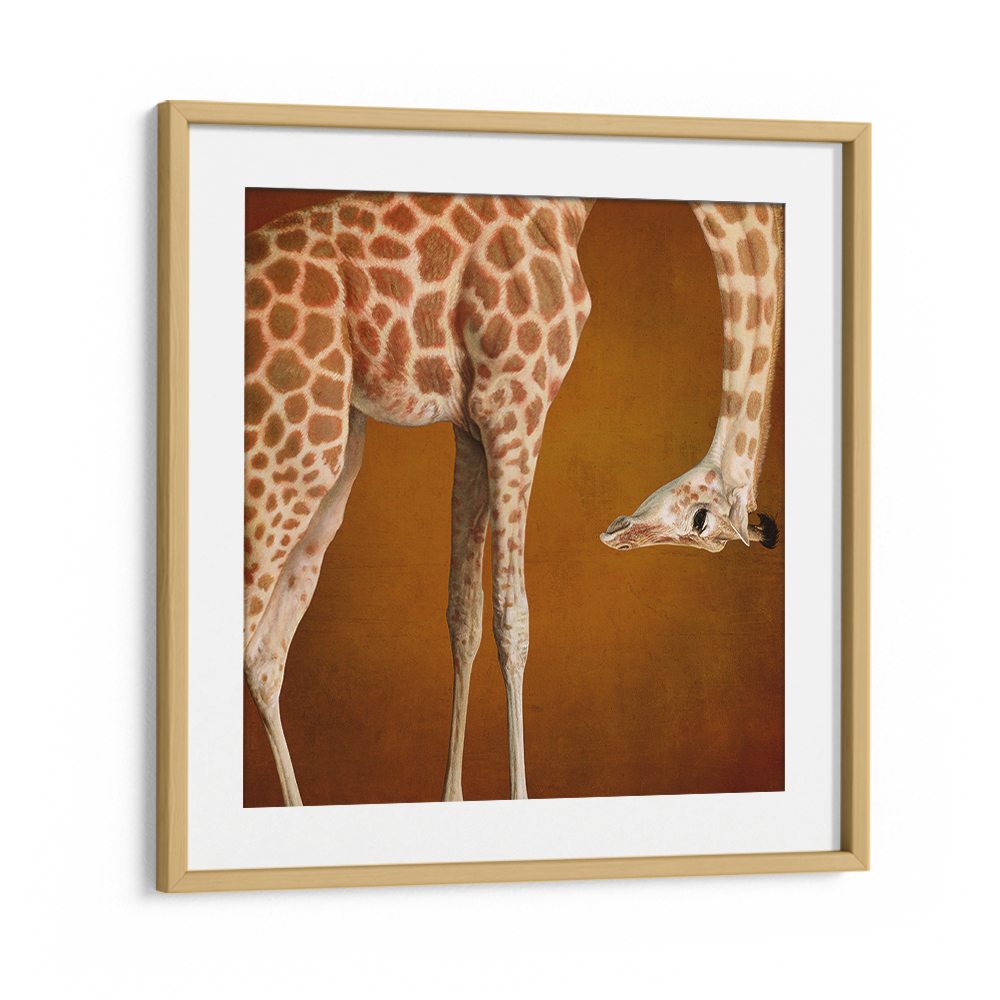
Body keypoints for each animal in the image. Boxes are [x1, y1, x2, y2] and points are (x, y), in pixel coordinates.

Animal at [243, 194, 783, 805]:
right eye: (702, 522)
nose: (618, 531)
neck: (569, 210)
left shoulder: (470, 426)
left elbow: (464, 613)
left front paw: (452, 799)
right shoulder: (513, 401)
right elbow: (512, 616)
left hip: (334, 458)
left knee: (266, 652)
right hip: (294, 444)